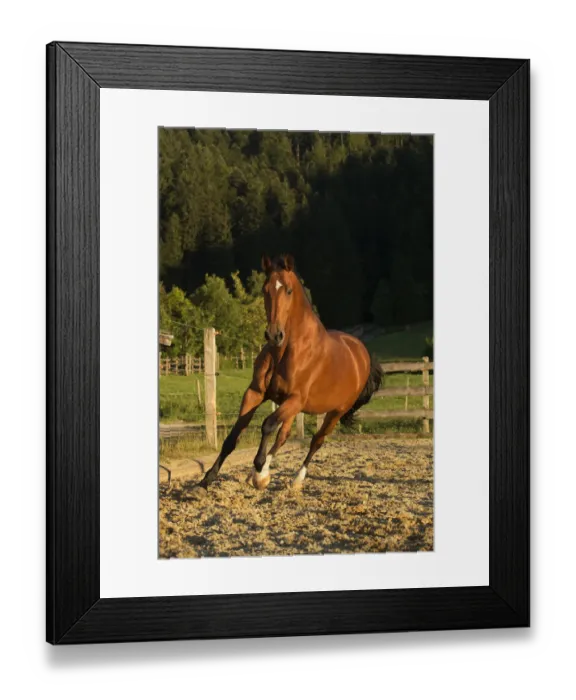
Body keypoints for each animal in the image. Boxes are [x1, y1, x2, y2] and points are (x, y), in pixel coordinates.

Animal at [191, 254, 382, 496]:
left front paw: (259, 467)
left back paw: (294, 480)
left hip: (335, 411)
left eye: (289, 290)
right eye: (265, 289)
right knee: (284, 435)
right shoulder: (256, 393)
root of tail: (362, 354)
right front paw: (207, 480)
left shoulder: (295, 399)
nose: (274, 334)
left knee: (317, 440)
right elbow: (234, 436)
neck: (286, 351)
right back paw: (260, 475)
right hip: (294, 408)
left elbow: (267, 425)